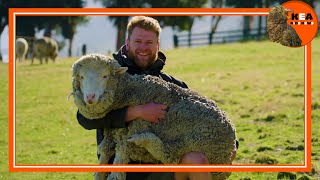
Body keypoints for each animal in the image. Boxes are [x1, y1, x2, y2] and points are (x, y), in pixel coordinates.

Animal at [71, 53, 238, 180]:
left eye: (105, 76)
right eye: (82, 77)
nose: (90, 97)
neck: (128, 92)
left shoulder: (130, 135)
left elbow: (118, 167)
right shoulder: (112, 134)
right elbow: (104, 154)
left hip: (195, 141)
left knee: (170, 156)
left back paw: (145, 139)